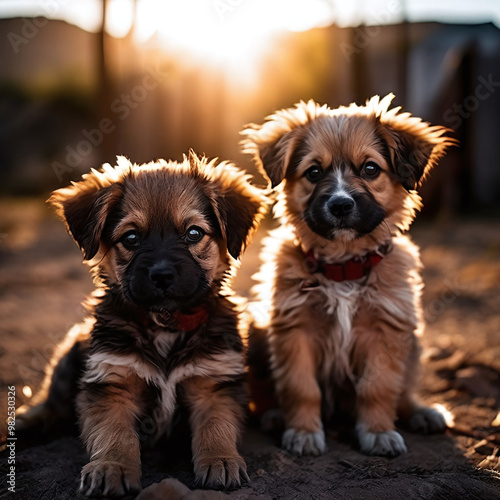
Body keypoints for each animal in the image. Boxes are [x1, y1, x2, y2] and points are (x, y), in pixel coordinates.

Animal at [18, 153, 266, 496]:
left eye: (193, 234)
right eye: (131, 237)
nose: (162, 275)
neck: (164, 324)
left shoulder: (213, 383)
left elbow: (216, 427)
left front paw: (221, 460)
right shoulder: (112, 382)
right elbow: (114, 434)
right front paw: (112, 467)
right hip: (70, 353)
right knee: (49, 402)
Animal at [242, 94, 458, 458]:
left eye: (370, 169)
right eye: (314, 172)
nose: (340, 205)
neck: (343, 267)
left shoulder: (386, 330)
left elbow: (378, 388)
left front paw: (378, 432)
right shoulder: (294, 330)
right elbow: (301, 388)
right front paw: (303, 432)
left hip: (413, 341)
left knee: (403, 392)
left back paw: (422, 412)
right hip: (258, 331)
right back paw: (274, 415)